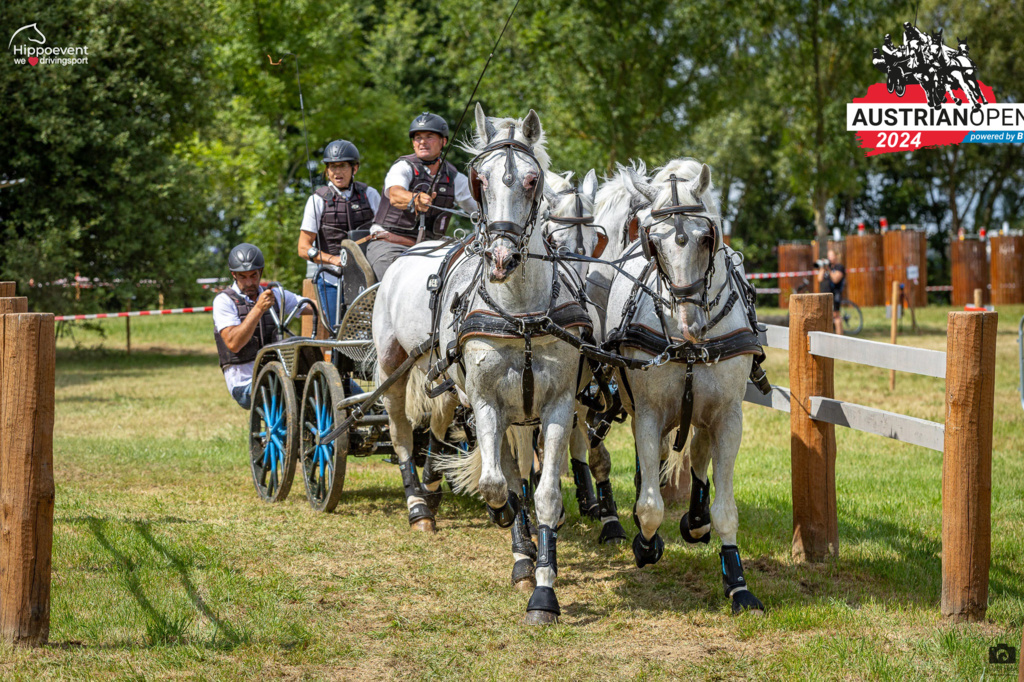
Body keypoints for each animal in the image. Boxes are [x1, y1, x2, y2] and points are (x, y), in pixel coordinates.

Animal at [602, 157, 765, 610]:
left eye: (706, 237)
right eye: (654, 243)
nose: (688, 323)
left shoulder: (728, 416)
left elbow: (725, 507)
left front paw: (737, 582)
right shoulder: (648, 413)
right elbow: (650, 505)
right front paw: (646, 544)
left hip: (705, 412)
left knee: (697, 454)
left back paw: (695, 519)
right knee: (658, 460)